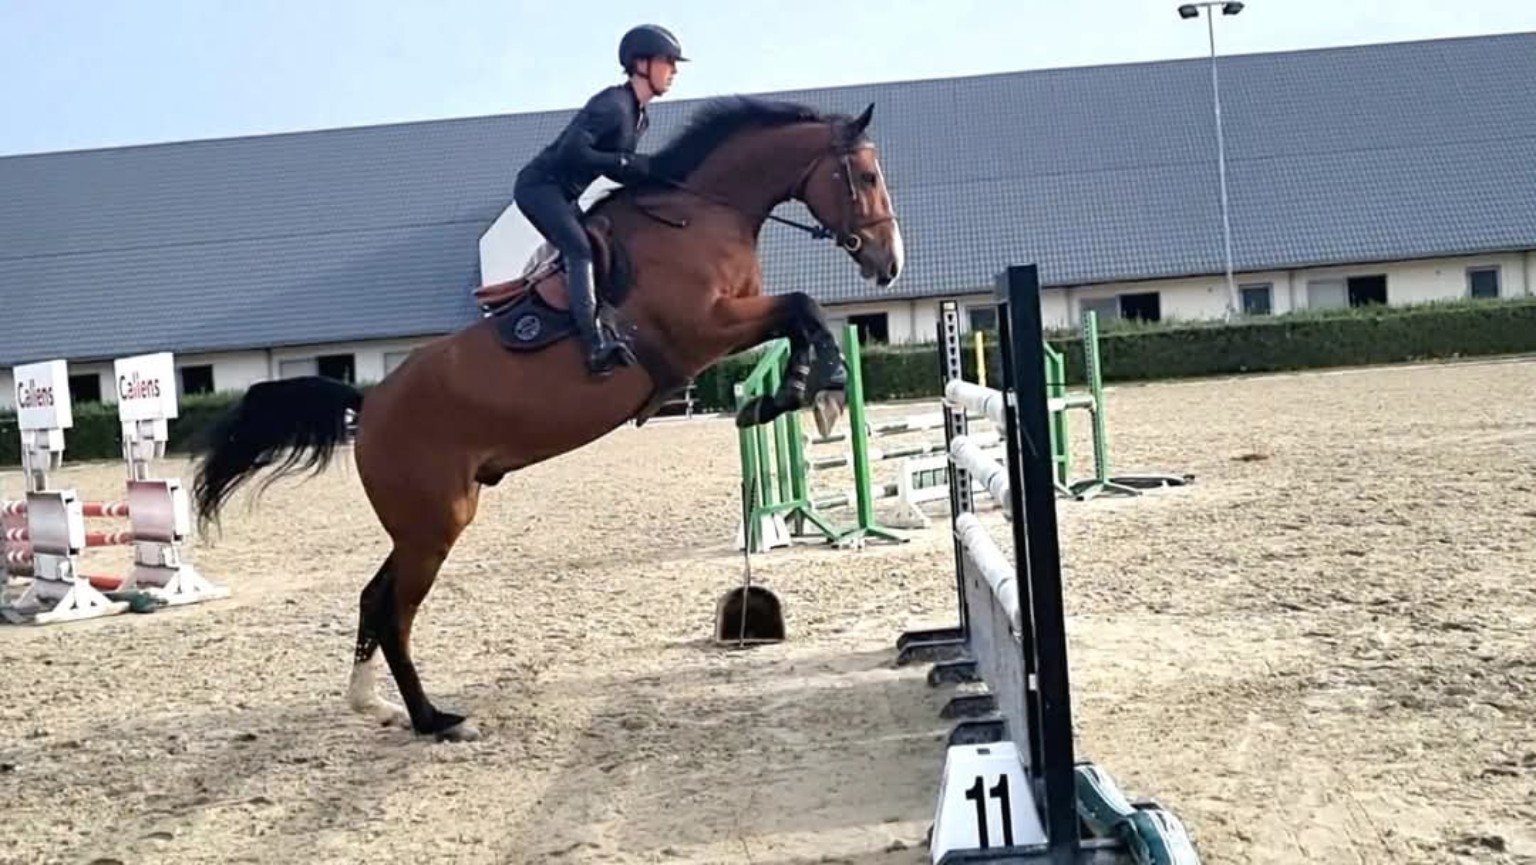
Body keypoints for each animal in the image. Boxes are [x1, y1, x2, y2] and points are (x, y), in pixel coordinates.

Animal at [188, 95, 905, 743]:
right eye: (867, 176)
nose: (888, 261)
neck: (697, 215)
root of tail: (368, 404)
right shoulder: (705, 330)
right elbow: (803, 305)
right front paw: (812, 389)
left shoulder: (729, 326)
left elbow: (799, 316)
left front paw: (799, 391)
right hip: (434, 525)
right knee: (395, 612)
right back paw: (435, 720)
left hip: (427, 522)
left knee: (375, 597)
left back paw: (378, 705)